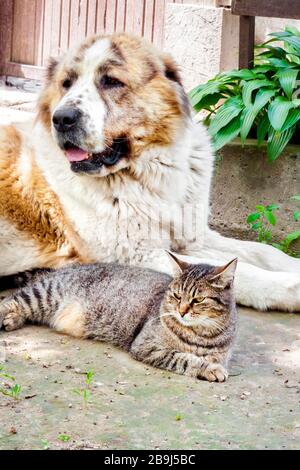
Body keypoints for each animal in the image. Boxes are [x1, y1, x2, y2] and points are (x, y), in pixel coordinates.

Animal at [0, 34, 300, 312]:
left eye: (111, 81)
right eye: (66, 84)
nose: (62, 119)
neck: (151, 173)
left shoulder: (192, 235)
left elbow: (264, 251)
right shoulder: (138, 256)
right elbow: (240, 272)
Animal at [0, 253, 239, 382]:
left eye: (198, 300)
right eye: (177, 295)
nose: (181, 311)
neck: (201, 333)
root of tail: (60, 269)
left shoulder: (220, 353)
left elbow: (202, 357)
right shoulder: (147, 346)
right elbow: (184, 358)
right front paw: (209, 369)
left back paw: (12, 320)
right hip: (43, 294)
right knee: (10, 301)